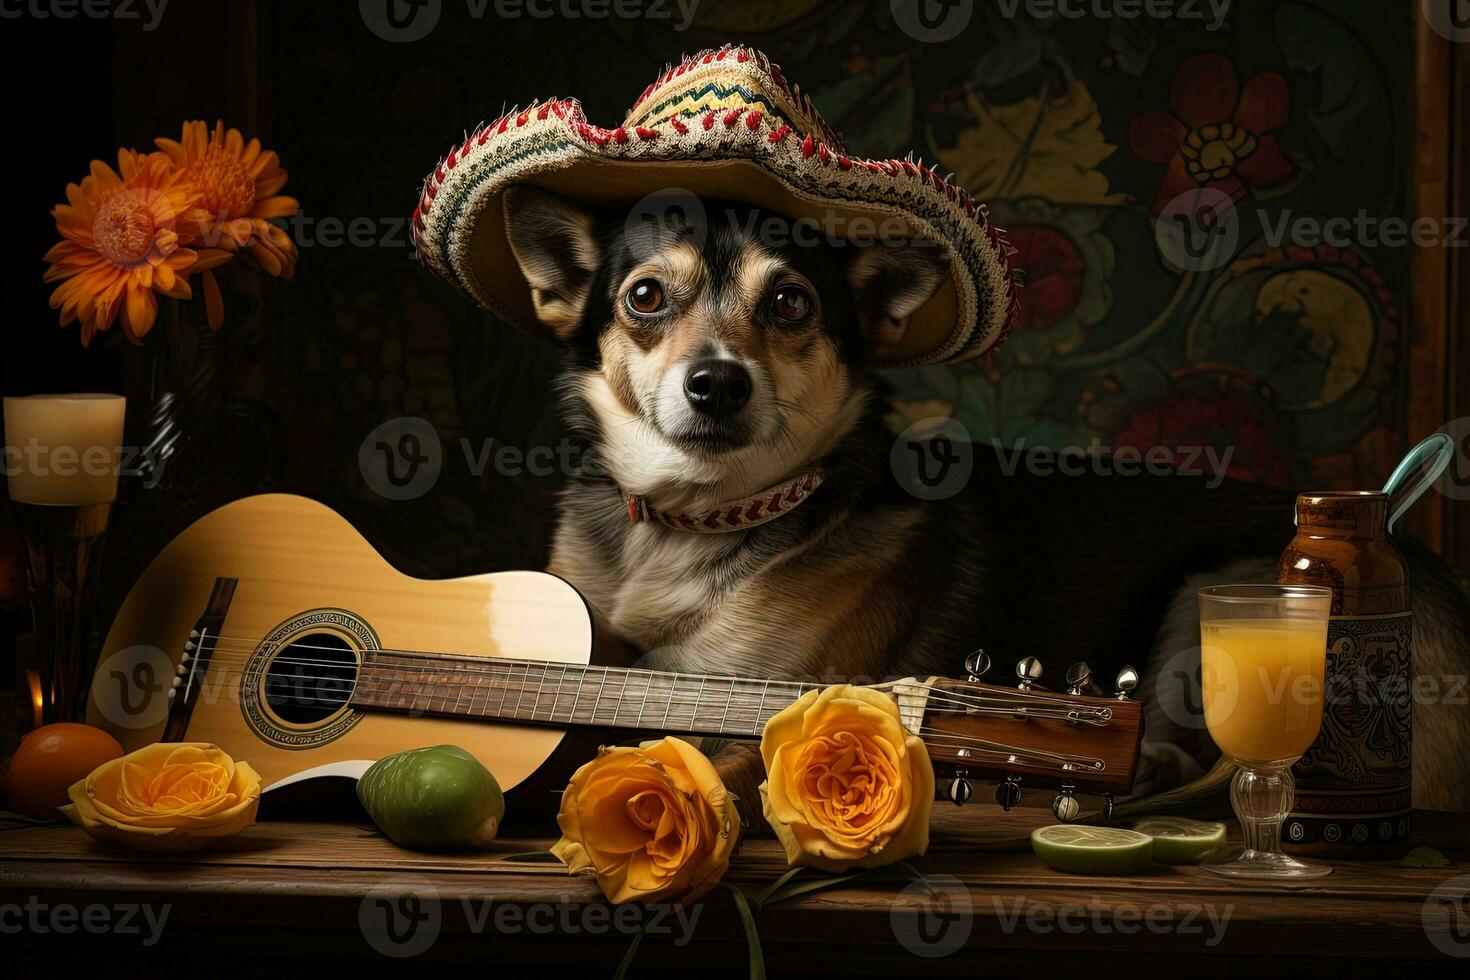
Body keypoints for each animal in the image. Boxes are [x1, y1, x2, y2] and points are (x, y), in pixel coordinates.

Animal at [502, 183, 1470, 822]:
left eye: (788, 302)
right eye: (644, 297)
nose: (716, 384)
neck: (691, 524)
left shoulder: (756, 700)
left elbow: (710, 757)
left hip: (1221, 593)